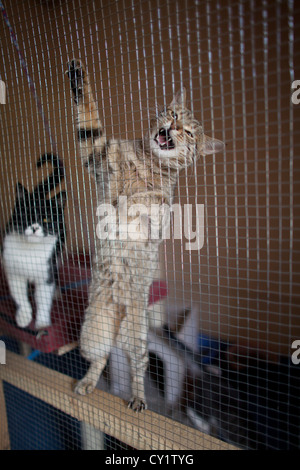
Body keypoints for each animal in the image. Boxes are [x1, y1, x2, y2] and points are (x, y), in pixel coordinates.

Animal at [66, 59, 225, 412]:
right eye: (174, 113)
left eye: (189, 132)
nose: (173, 127)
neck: (146, 159)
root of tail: (118, 319)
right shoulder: (98, 153)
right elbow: (88, 118)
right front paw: (78, 78)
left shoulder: (159, 208)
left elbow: (151, 199)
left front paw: (133, 199)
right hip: (92, 332)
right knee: (101, 357)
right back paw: (87, 382)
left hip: (136, 336)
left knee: (137, 365)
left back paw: (138, 398)